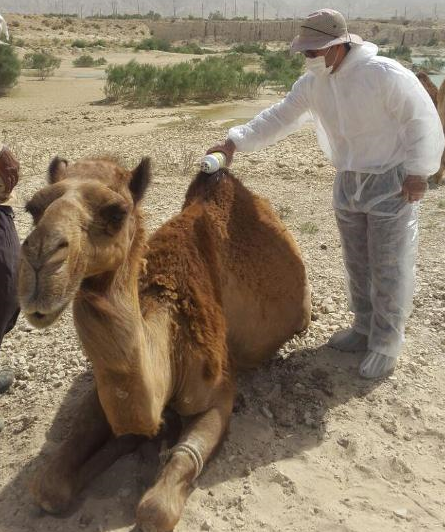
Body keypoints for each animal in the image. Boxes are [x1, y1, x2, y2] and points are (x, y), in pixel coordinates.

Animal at [19, 156, 310, 528]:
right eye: (33, 208)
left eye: (117, 212)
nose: (40, 260)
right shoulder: (103, 392)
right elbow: (49, 484)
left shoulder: (219, 394)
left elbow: (157, 506)